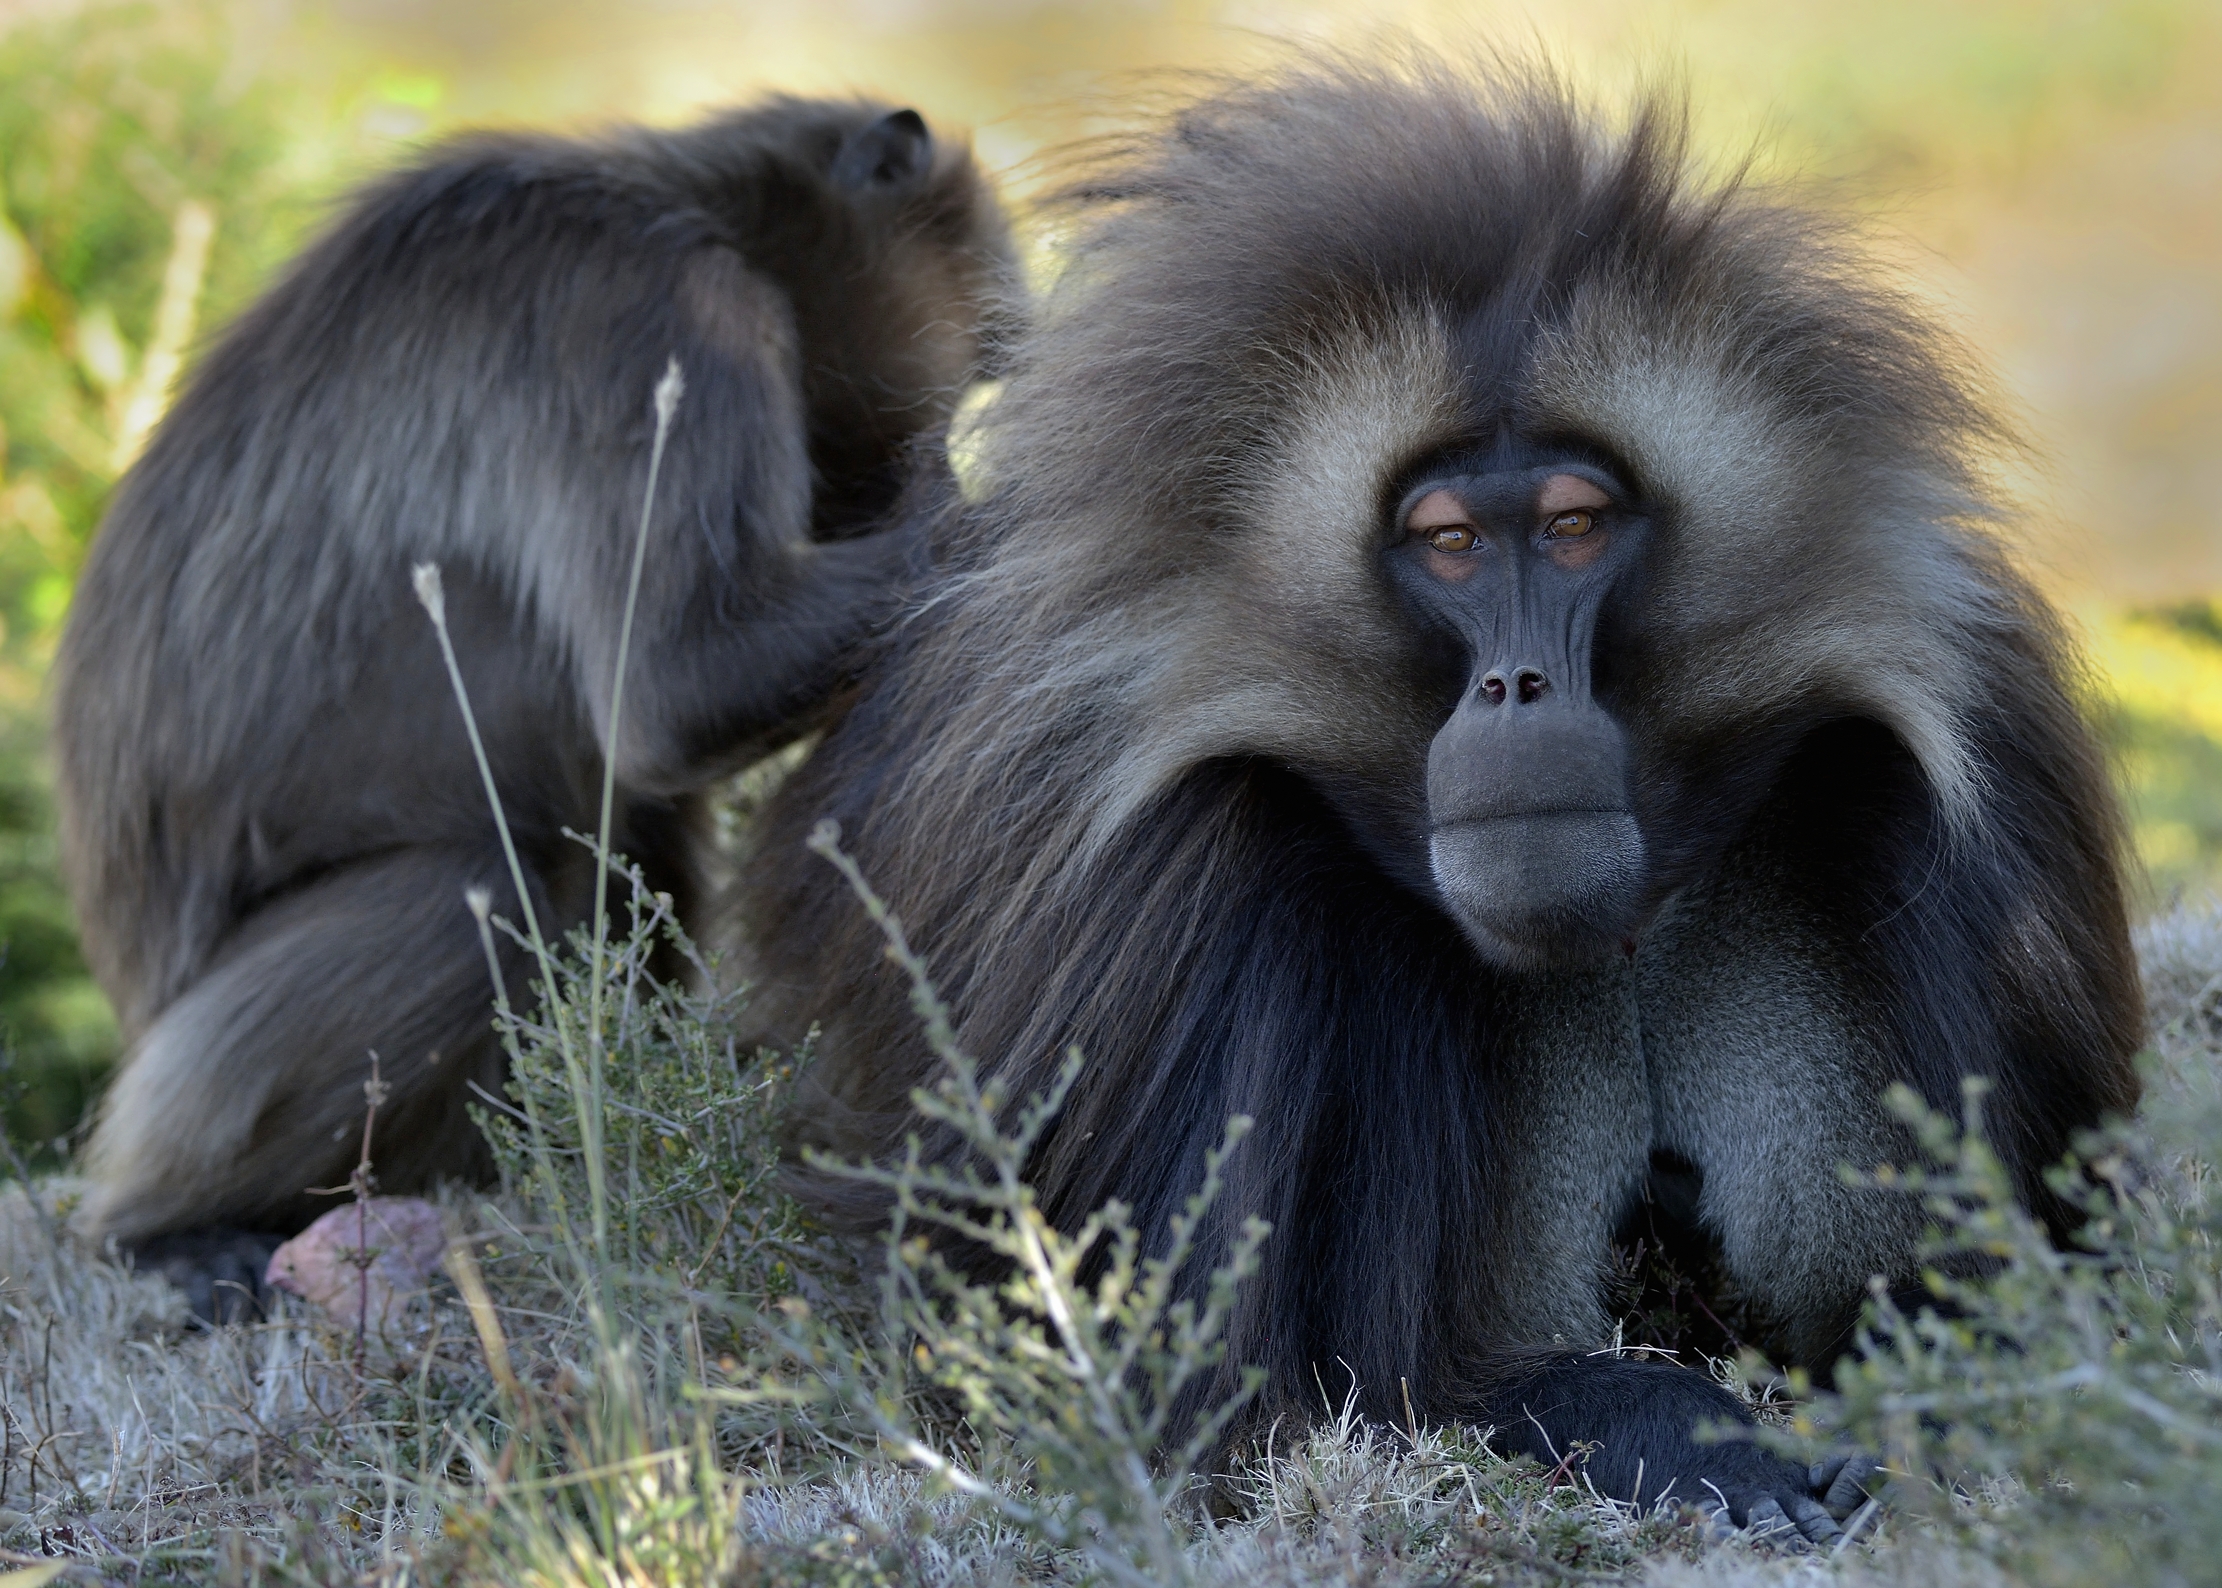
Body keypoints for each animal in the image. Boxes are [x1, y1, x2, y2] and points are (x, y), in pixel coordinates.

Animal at [52, 96, 1013, 1321]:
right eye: (969, 373)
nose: (925, 444)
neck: (708, 206)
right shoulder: (661, 314)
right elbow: (684, 684)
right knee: (485, 888)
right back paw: (162, 1229)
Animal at [733, 62, 2143, 1540]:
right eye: (1450, 542)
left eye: (1574, 525)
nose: (1518, 687)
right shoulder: (1176, 906)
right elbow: (1272, 1421)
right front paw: (1705, 1447)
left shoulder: (1983, 769)